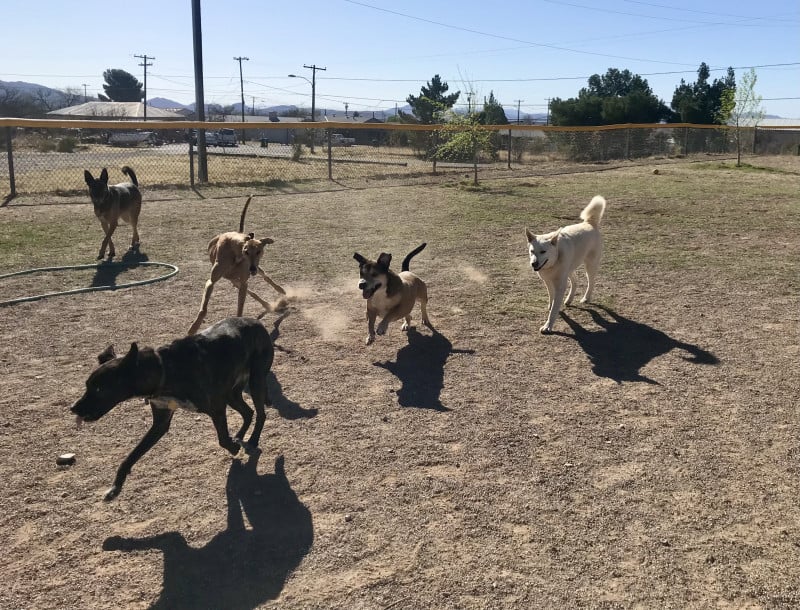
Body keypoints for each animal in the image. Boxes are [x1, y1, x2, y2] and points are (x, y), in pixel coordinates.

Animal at [524, 196, 608, 332]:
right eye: (532, 251)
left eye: (543, 251)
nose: (534, 264)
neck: (553, 263)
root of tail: (589, 223)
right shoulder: (548, 282)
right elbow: (552, 299)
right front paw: (551, 306)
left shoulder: (560, 285)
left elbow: (554, 309)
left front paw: (548, 325)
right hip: (569, 268)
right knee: (575, 281)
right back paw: (569, 299)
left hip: (590, 265)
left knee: (591, 282)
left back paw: (586, 298)